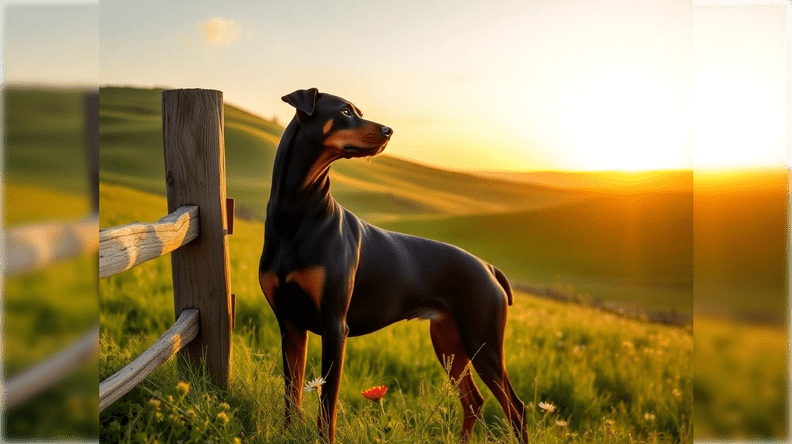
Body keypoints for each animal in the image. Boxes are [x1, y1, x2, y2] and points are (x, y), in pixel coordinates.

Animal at [260, 88, 524, 442]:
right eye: (345, 111)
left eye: (358, 111)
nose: (389, 131)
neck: (297, 212)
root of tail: (488, 267)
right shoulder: (289, 323)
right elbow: (293, 393)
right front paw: (289, 433)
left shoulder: (334, 324)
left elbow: (327, 403)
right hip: (449, 342)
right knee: (473, 400)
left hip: (483, 341)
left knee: (515, 408)